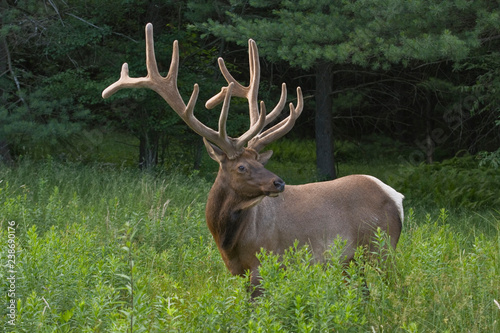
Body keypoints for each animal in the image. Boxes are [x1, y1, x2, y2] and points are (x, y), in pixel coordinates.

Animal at [101, 24, 402, 296]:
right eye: (243, 166)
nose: (279, 183)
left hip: (381, 248)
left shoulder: (265, 262)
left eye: (262, 163)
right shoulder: (238, 271)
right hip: (352, 262)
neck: (228, 241)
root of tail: (395, 196)